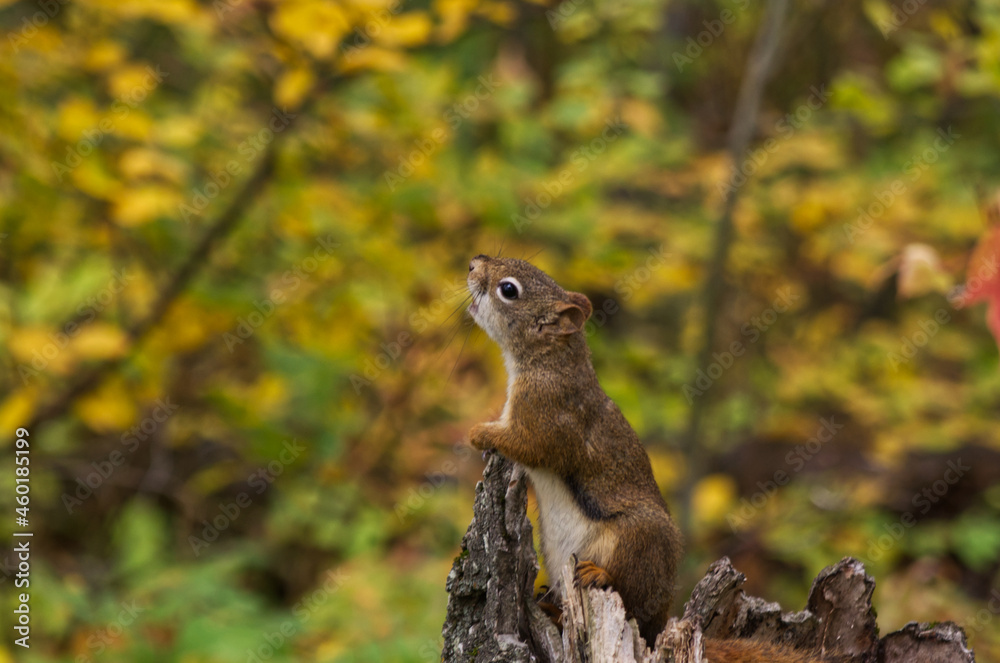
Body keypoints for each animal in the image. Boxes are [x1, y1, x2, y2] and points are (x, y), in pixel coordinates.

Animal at [465, 254, 823, 663]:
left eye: (508, 289)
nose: (473, 264)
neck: (547, 362)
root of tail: (661, 621)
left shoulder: (548, 414)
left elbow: (529, 445)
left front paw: (479, 434)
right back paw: (551, 609)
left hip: (639, 537)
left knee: (633, 595)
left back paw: (600, 576)